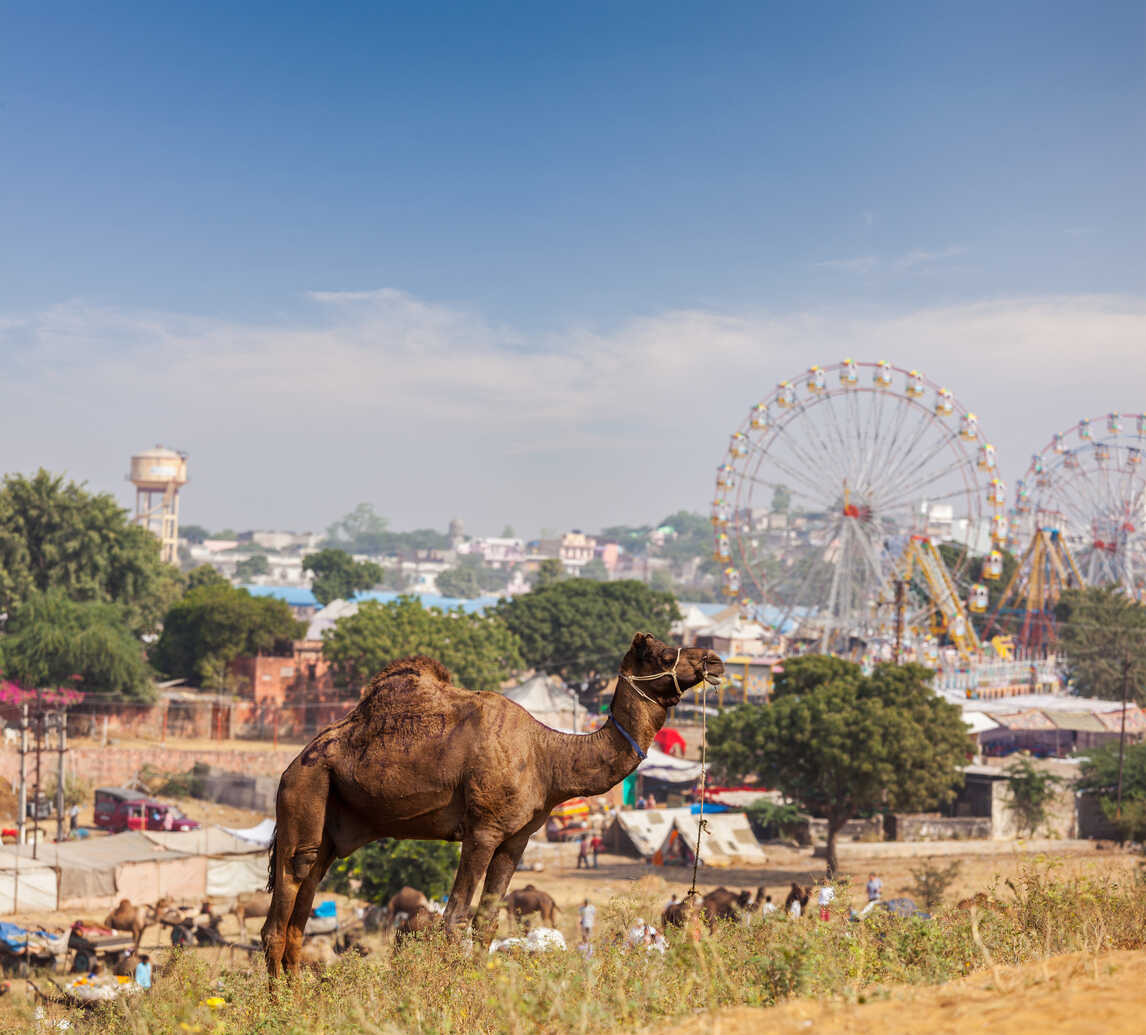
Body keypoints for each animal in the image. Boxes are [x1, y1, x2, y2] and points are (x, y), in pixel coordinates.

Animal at [263, 632, 719, 981]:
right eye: (664, 654)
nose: (713, 660)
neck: (548, 757)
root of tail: (290, 765)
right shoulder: (483, 831)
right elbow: (455, 918)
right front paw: (448, 994)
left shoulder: (516, 838)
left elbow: (487, 921)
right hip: (305, 790)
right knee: (286, 897)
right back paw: (279, 1004)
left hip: (332, 824)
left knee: (304, 899)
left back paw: (297, 996)